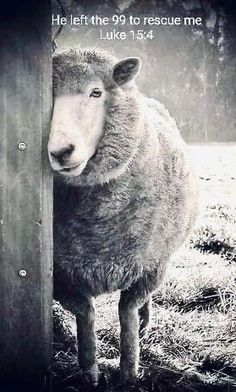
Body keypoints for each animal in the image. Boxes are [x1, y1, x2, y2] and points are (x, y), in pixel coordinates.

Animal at [48, 48, 199, 382]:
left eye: (96, 92)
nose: (61, 151)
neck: (99, 229)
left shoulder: (149, 267)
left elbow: (126, 314)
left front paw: (129, 372)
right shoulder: (62, 275)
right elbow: (86, 315)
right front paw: (89, 373)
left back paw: (146, 322)